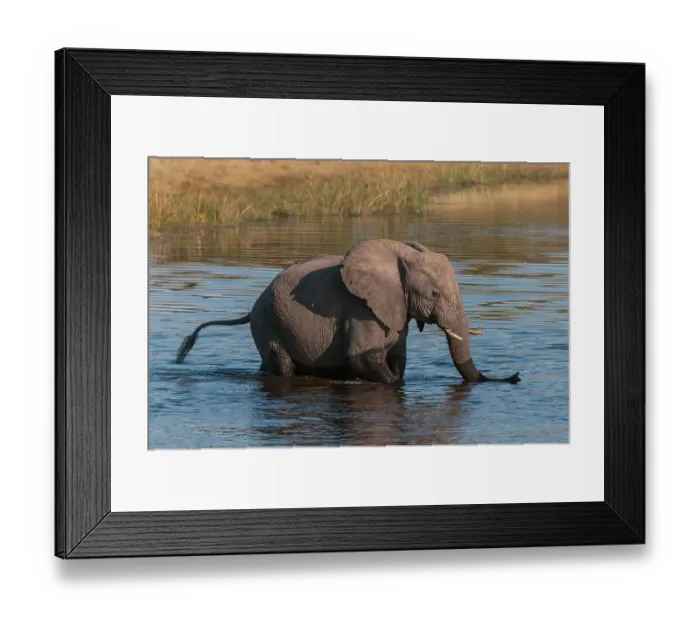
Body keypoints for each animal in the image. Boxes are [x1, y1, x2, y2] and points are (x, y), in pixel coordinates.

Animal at [175, 239, 521, 385]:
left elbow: (397, 358)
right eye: (434, 294)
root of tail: (250, 309)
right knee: (282, 366)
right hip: (268, 323)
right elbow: (364, 359)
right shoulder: (360, 308)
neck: (401, 255)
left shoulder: (395, 307)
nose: (515, 376)